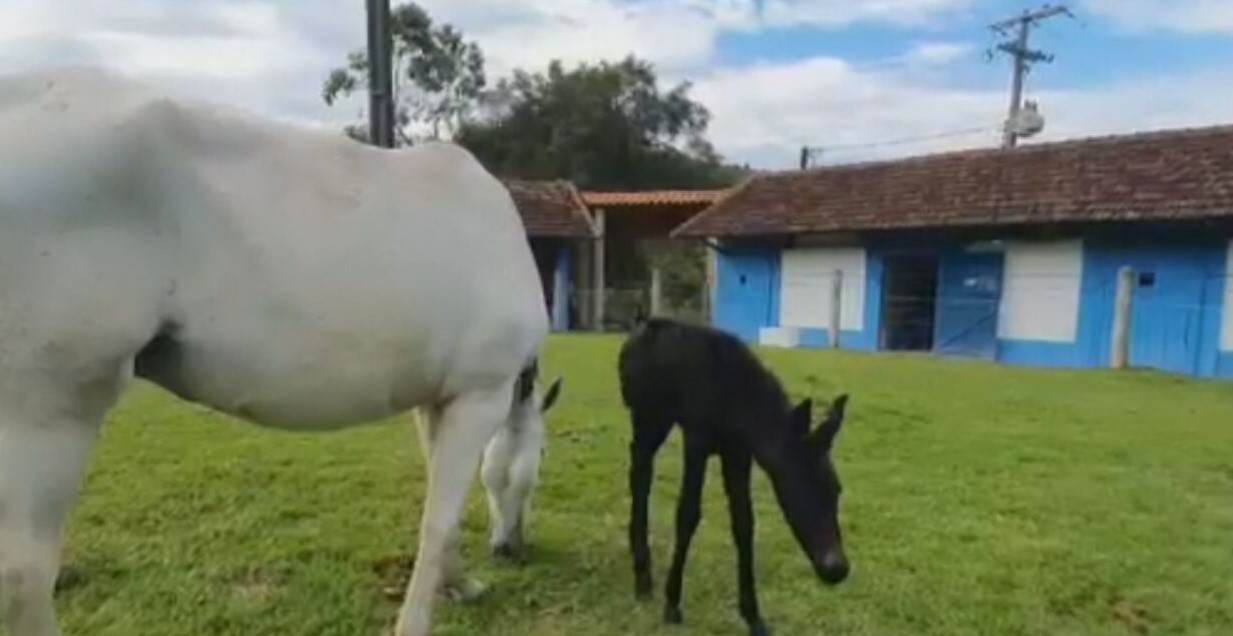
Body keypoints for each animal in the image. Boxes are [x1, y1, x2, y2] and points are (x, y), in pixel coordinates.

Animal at [0, 67, 559, 631]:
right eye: (539, 461)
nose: (512, 549)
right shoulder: (481, 395)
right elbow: (439, 519)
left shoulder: (437, 398)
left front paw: (458, 582)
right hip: (47, 410)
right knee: (25, 576)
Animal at [616, 318, 848, 636]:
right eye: (803, 486)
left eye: (837, 489)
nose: (837, 569)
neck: (739, 409)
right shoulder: (697, 438)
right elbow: (687, 514)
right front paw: (672, 603)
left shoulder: (738, 453)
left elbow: (744, 523)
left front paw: (753, 616)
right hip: (647, 414)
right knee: (640, 473)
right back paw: (642, 576)